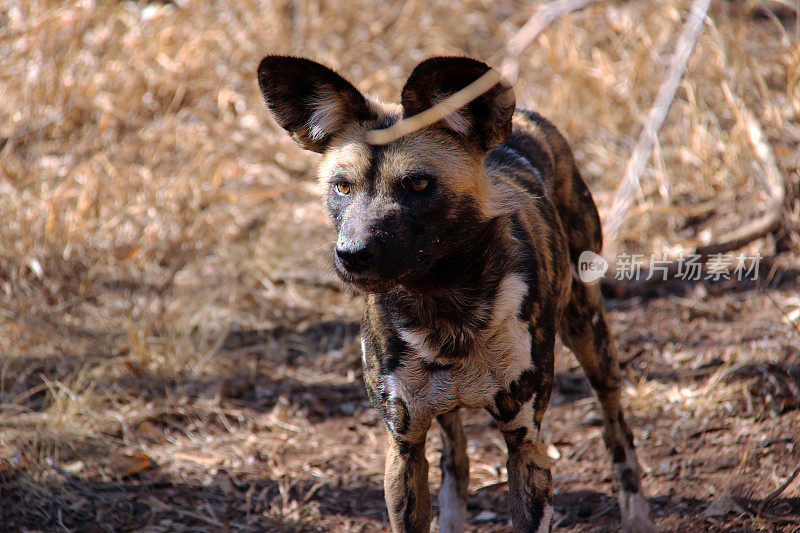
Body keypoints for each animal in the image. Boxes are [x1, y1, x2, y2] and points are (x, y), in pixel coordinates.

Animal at [258, 56, 656, 528]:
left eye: (417, 185)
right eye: (342, 186)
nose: (352, 254)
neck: (442, 304)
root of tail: (526, 116)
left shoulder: (525, 444)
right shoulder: (404, 447)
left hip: (589, 335)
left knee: (616, 424)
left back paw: (636, 512)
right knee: (457, 459)